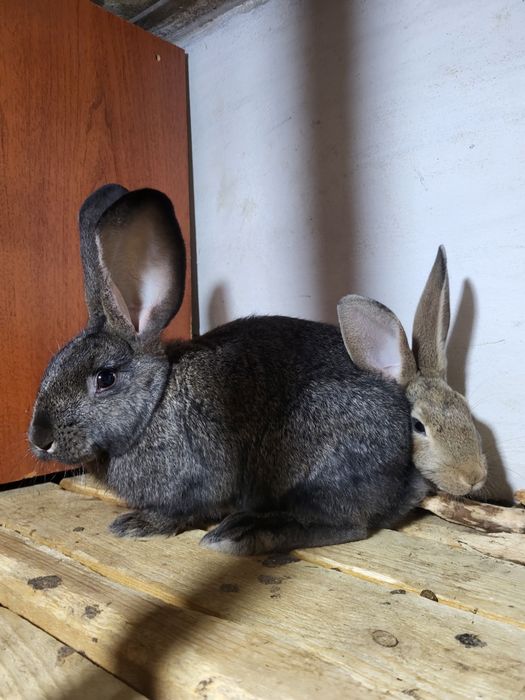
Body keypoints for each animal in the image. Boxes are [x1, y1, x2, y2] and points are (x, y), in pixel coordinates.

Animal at [28, 183, 433, 555]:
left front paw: (137, 524)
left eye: (105, 378)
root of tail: (404, 473)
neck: (155, 406)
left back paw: (242, 534)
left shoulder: (198, 478)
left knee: (347, 524)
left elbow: (177, 511)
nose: (39, 439)